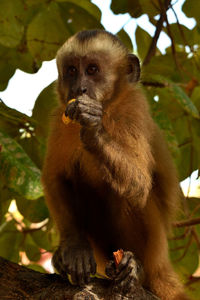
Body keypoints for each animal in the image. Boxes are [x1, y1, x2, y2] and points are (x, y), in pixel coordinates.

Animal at [41, 28, 189, 300]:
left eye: (92, 69)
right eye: (71, 70)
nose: (79, 88)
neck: (107, 108)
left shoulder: (134, 110)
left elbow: (139, 185)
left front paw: (93, 129)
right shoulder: (60, 117)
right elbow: (55, 178)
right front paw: (75, 248)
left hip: (154, 249)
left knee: (127, 193)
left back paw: (135, 268)